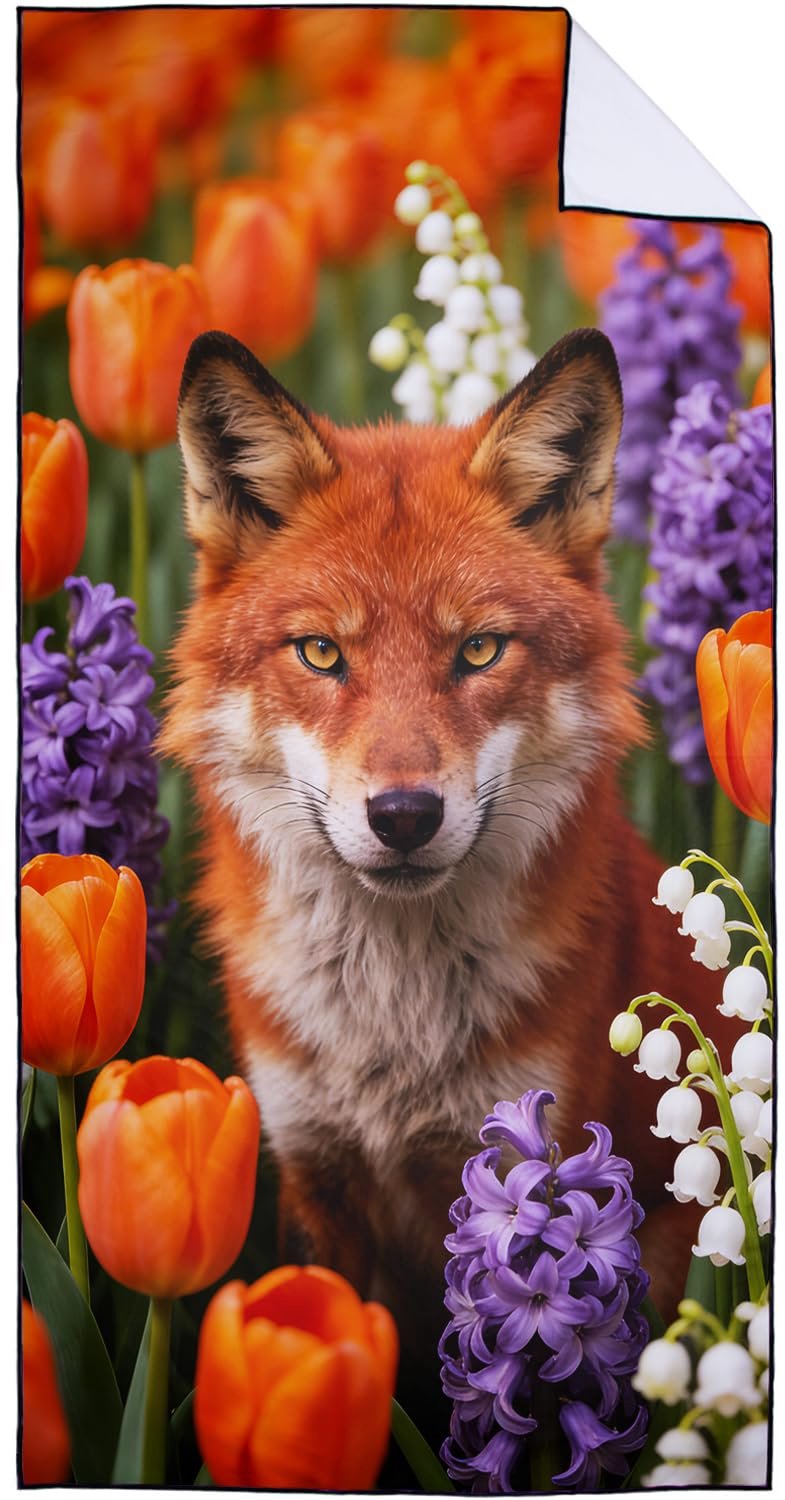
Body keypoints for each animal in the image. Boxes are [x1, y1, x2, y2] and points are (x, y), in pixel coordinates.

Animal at [163, 326, 725, 1404]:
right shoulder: (316, 1180)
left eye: (477, 651)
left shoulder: (531, 1180)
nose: (403, 815)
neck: (393, 1042)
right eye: (320, 654)